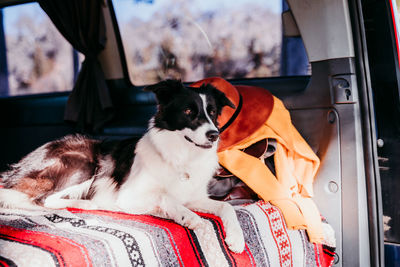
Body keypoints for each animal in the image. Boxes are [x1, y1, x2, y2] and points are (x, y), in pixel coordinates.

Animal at [0, 79, 245, 253]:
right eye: (188, 112)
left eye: (212, 112)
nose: (214, 135)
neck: (180, 156)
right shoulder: (130, 194)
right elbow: (165, 196)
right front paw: (188, 217)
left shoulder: (194, 197)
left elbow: (226, 206)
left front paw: (236, 237)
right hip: (83, 161)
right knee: (43, 200)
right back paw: (90, 204)